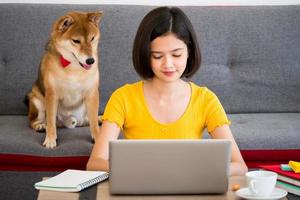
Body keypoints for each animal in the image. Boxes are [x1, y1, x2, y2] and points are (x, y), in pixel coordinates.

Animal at [27, 11, 103, 148]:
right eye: (76, 41)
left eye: (92, 38)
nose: (90, 60)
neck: (74, 67)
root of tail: (71, 122)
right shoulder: (52, 94)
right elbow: (51, 121)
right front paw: (50, 139)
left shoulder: (92, 93)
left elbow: (93, 122)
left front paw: (98, 137)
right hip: (36, 99)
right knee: (33, 120)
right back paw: (40, 126)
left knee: (89, 120)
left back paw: (101, 118)